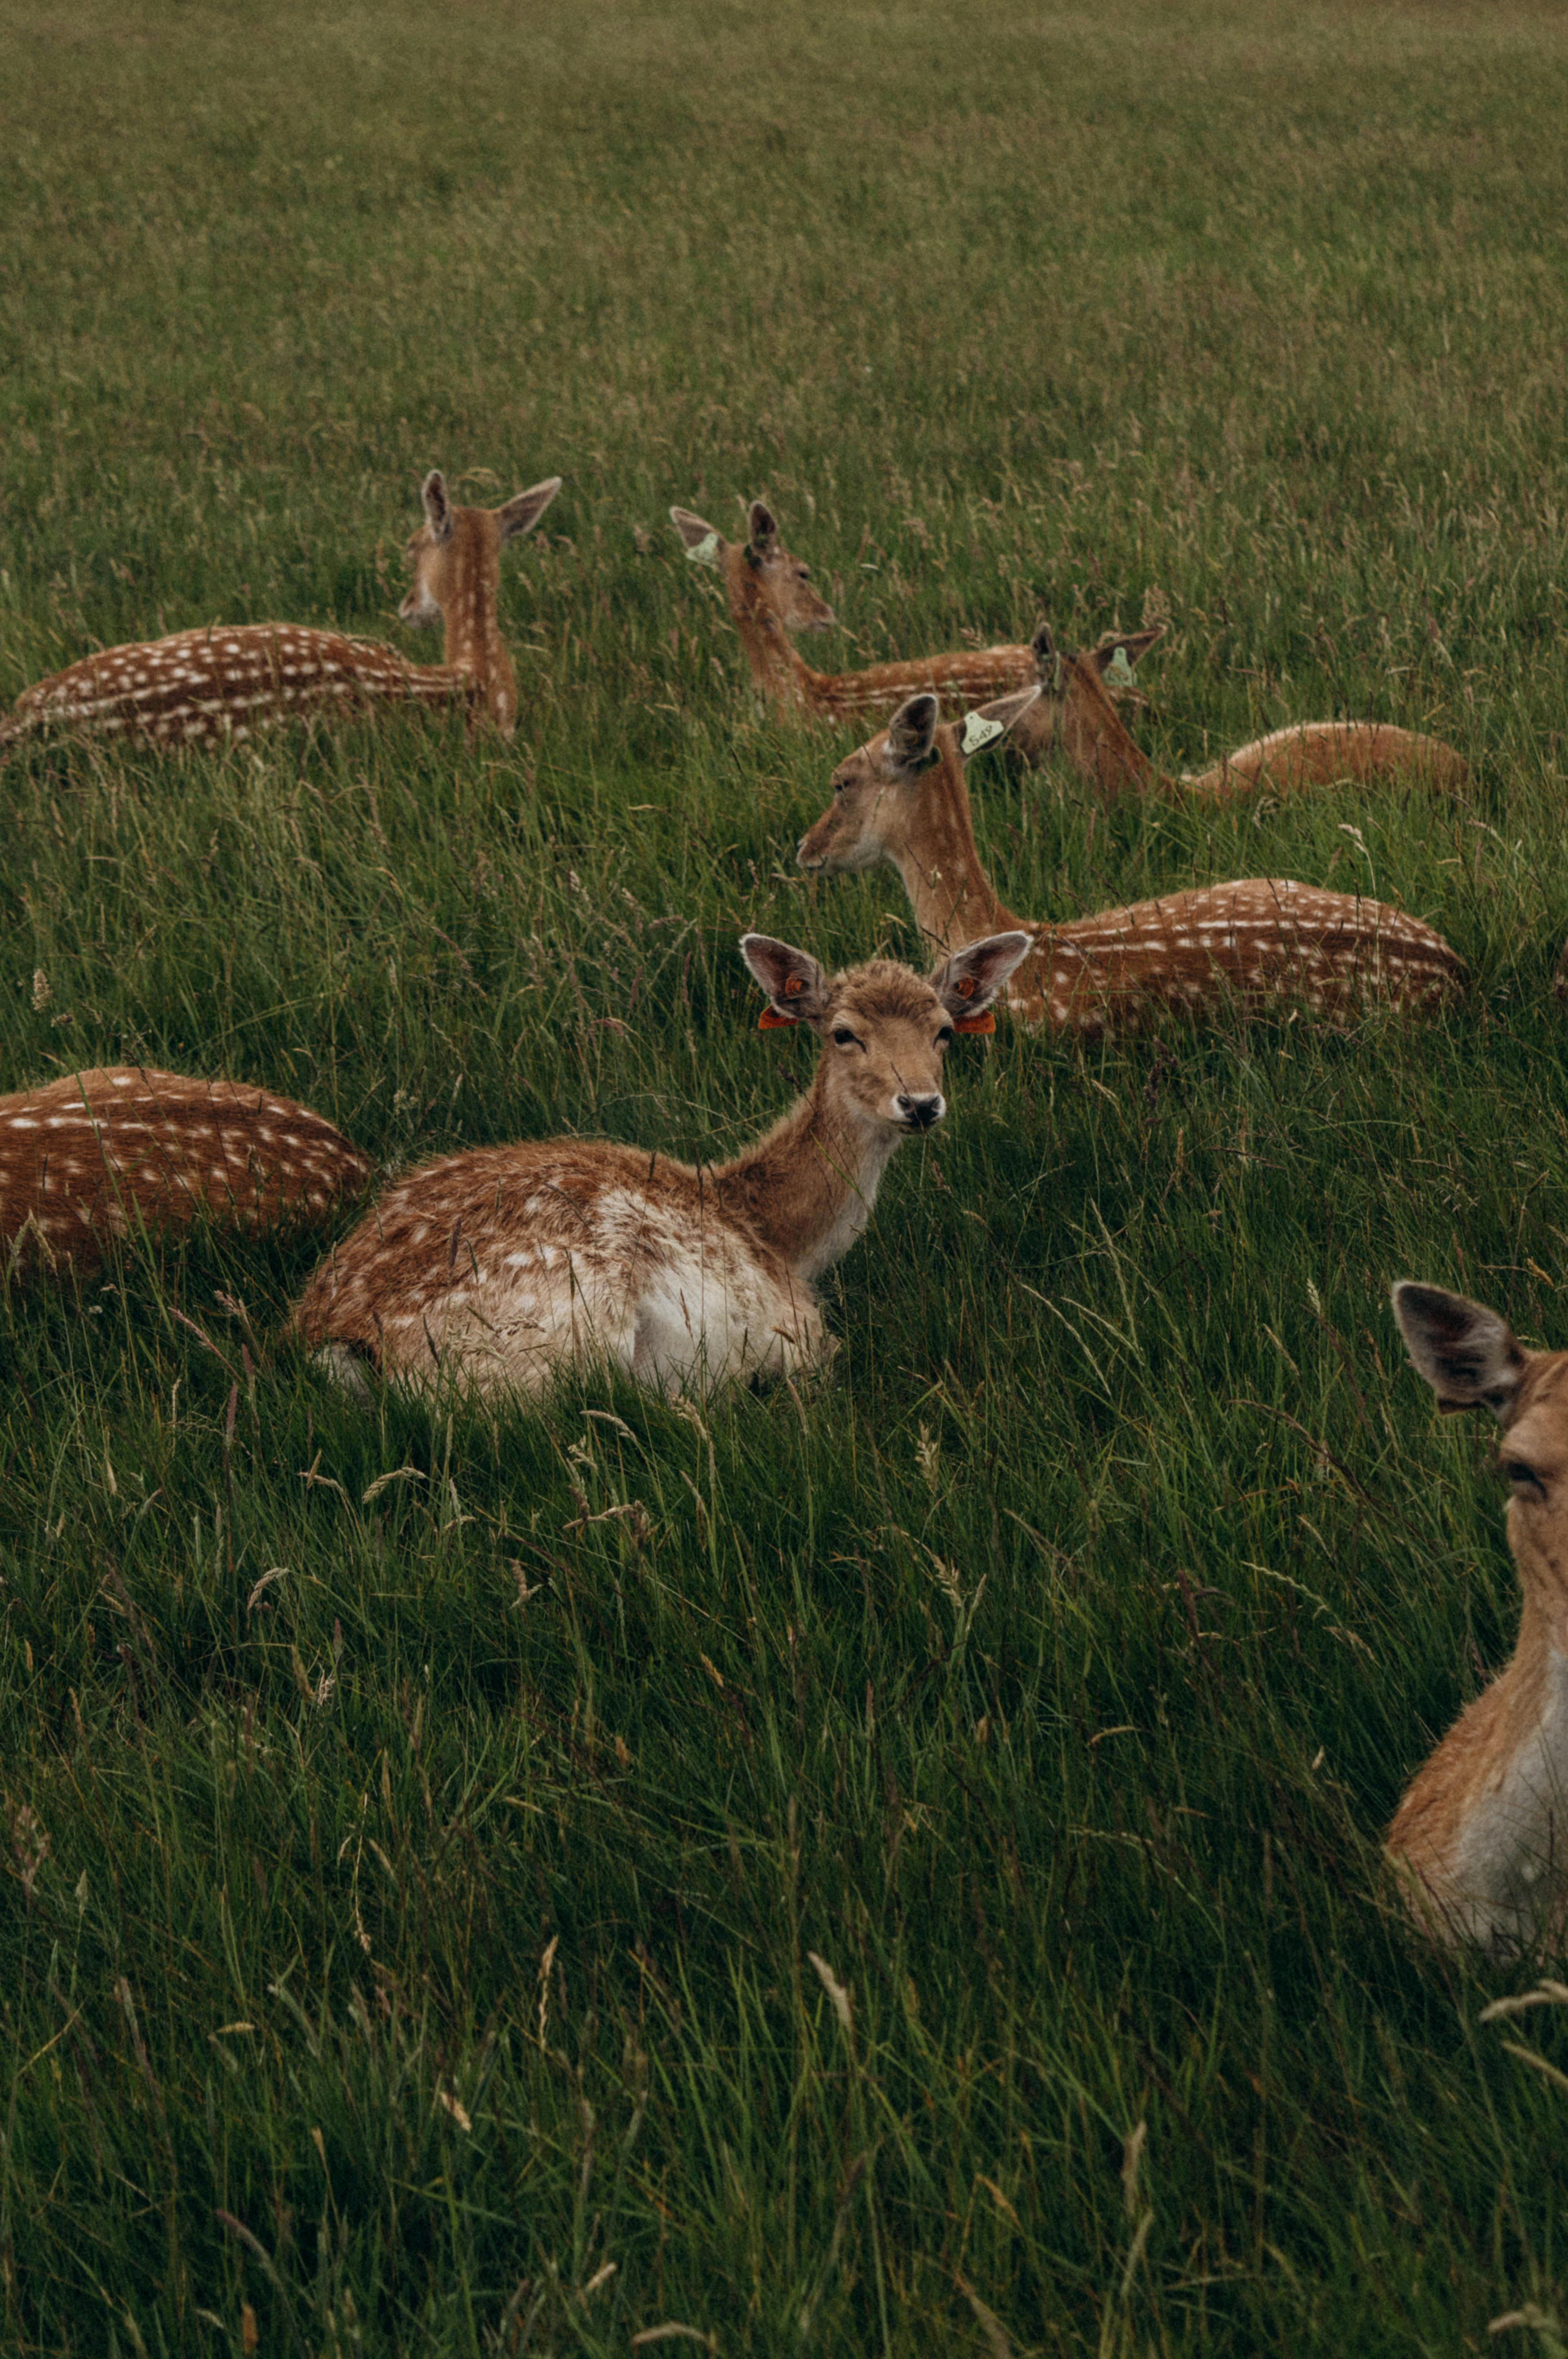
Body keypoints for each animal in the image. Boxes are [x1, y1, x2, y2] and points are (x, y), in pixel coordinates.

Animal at [291, 928, 1032, 1405]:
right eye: (844, 1033)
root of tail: (341, 1343)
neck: (783, 1241)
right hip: (556, 1336)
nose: (921, 1103)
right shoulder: (801, 1329)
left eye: (944, 1032)